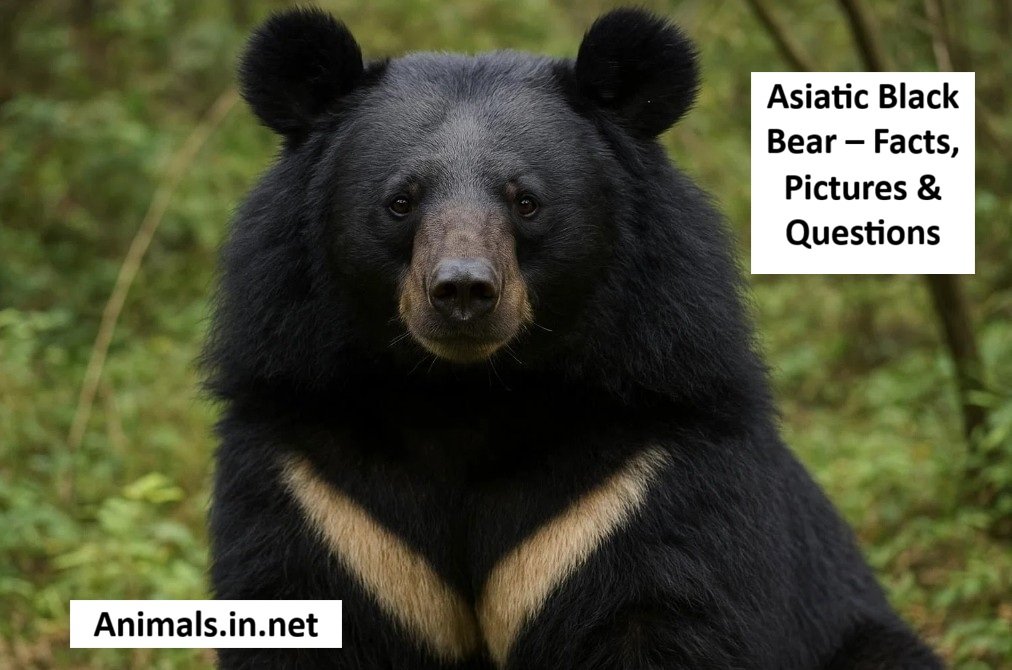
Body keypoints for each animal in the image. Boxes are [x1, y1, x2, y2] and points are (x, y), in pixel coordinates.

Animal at [203, 7, 943, 669]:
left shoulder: (632, 483)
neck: (463, 397)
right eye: (400, 202)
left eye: (526, 201)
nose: (463, 292)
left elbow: (665, 610)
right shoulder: (325, 497)